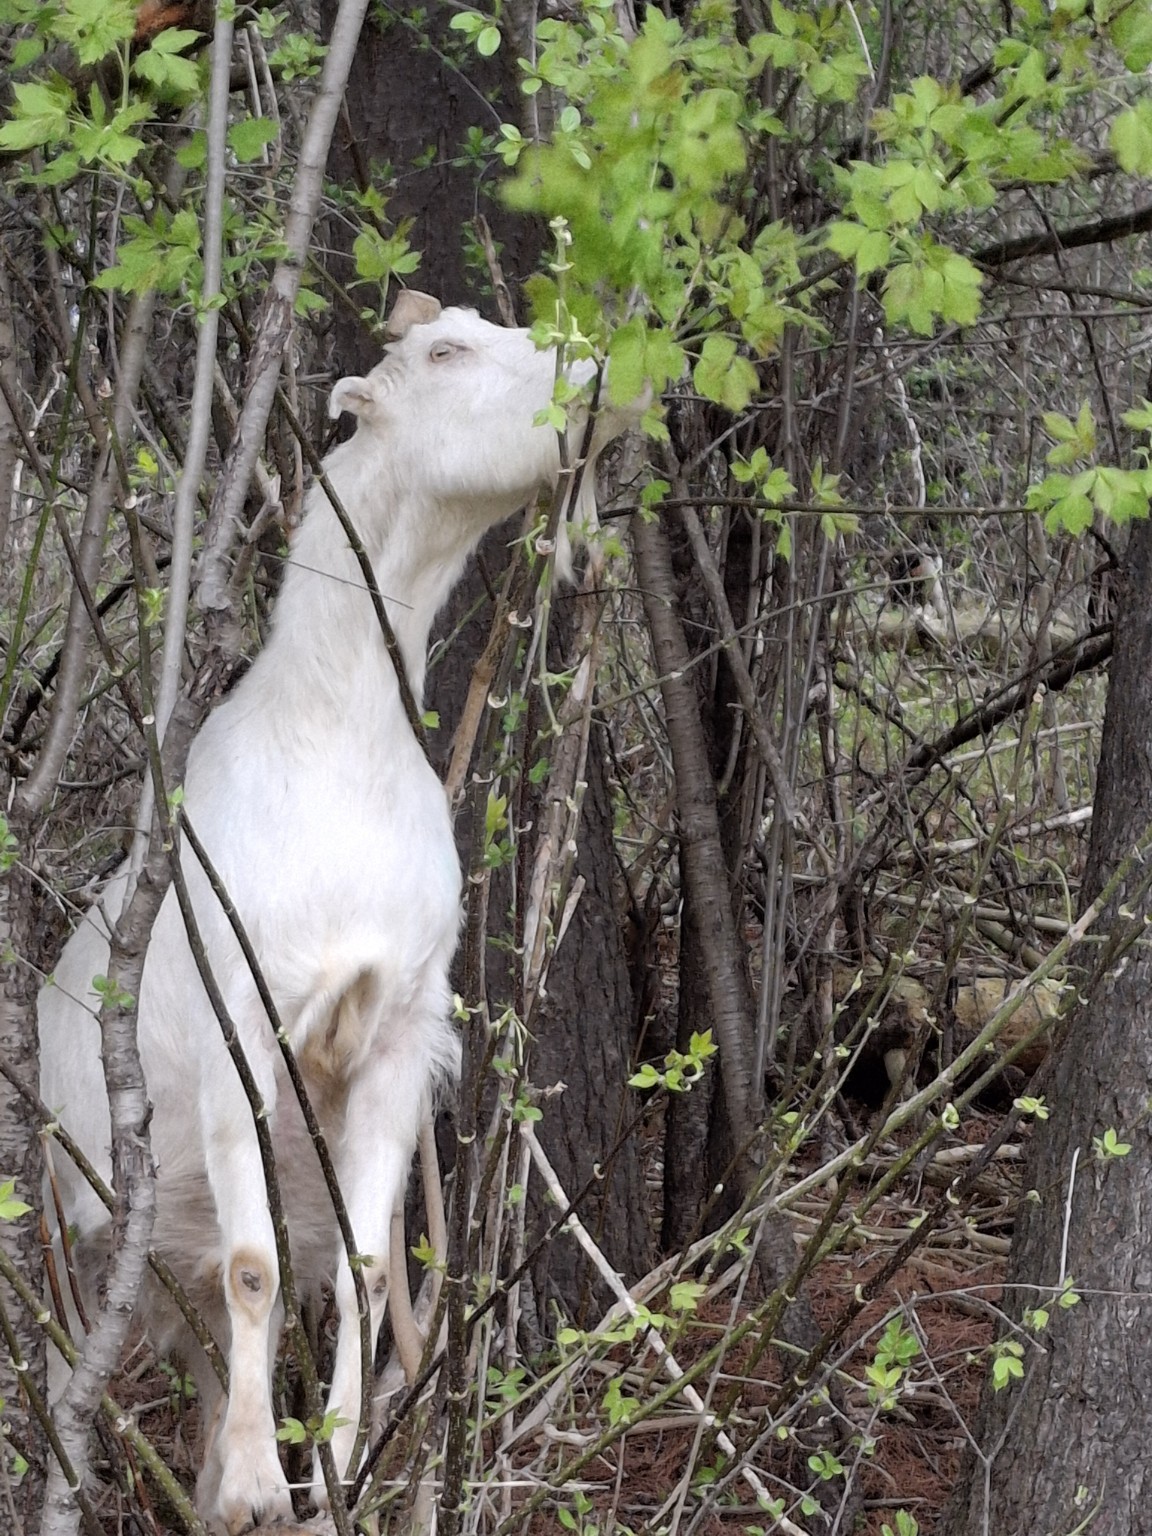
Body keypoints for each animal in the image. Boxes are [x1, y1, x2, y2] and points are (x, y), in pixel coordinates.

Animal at [38, 289, 627, 1534]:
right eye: (447, 351)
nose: (606, 370)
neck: (336, 735)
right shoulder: (241, 1026)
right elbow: (260, 1265)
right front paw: (267, 1488)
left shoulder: (399, 1031)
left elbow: (358, 1269)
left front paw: (335, 1470)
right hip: (73, 1238)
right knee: (120, 1341)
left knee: (212, 1343)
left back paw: (213, 1479)